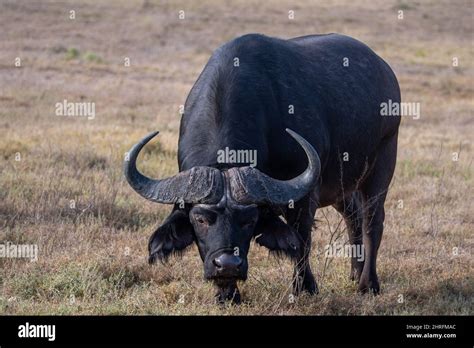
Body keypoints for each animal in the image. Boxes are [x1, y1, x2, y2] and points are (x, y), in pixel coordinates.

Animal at [123, 33, 400, 304]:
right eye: (200, 219)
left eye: (249, 219)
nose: (227, 264)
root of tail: (385, 70)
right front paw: (228, 295)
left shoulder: (305, 197)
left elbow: (302, 241)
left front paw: (304, 288)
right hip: (342, 186)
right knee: (353, 216)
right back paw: (354, 273)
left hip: (382, 163)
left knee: (372, 222)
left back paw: (368, 284)